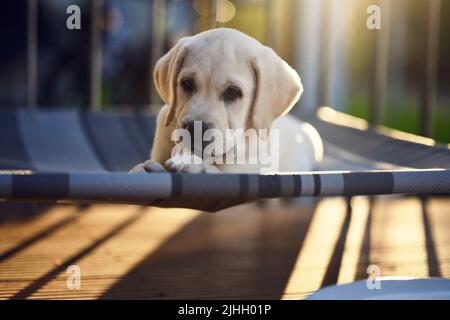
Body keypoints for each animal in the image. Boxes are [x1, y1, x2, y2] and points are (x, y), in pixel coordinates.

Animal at [131, 28, 324, 174]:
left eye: (233, 92)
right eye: (187, 83)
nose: (194, 128)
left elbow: (215, 171)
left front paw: (192, 163)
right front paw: (141, 168)